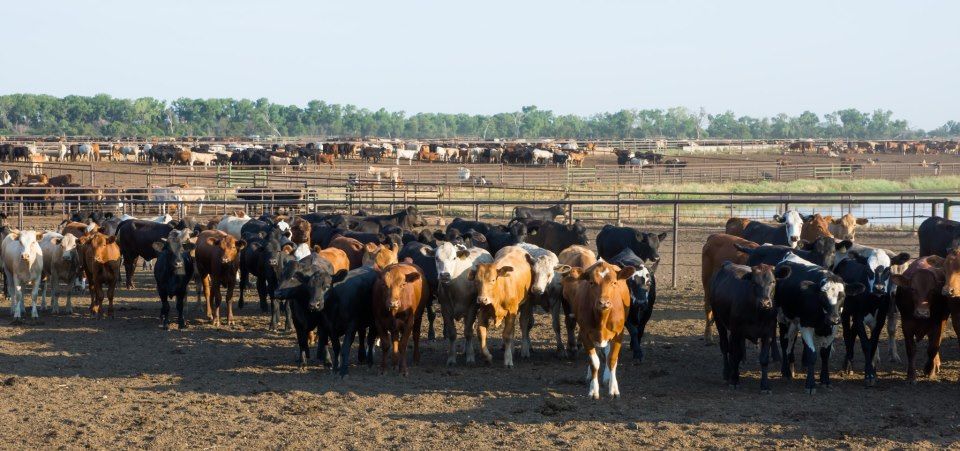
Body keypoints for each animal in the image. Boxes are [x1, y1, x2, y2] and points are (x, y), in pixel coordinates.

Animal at [710, 262, 791, 392]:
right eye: (754, 283)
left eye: (773, 281)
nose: (765, 303)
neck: (758, 313)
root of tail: (727, 263)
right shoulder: (736, 331)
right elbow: (736, 355)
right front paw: (734, 380)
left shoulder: (768, 333)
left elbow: (763, 359)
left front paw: (765, 385)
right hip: (719, 321)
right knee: (725, 347)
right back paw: (727, 373)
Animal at [775, 253, 864, 393]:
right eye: (822, 296)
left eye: (842, 296)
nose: (833, 318)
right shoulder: (806, 326)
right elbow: (812, 354)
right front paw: (810, 384)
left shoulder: (832, 329)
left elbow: (825, 354)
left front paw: (825, 380)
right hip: (782, 317)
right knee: (784, 343)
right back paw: (786, 371)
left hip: (794, 321)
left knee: (791, 341)